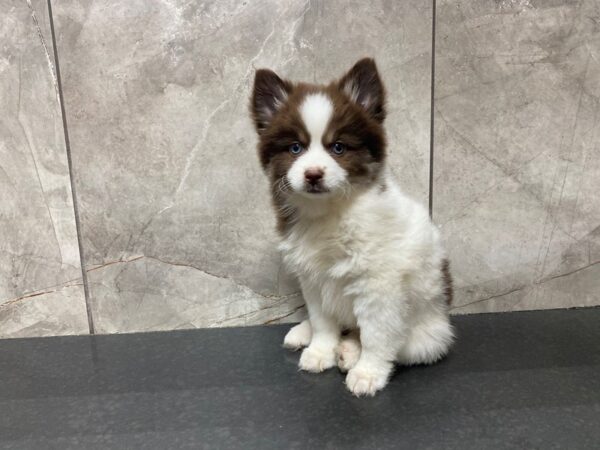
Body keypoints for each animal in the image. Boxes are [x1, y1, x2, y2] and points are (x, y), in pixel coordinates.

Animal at [251, 57, 452, 398]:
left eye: (338, 147)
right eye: (295, 148)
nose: (313, 174)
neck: (329, 211)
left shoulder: (378, 283)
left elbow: (376, 333)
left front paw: (367, 373)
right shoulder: (312, 278)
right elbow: (322, 321)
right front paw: (320, 351)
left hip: (430, 336)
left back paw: (351, 350)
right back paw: (307, 333)